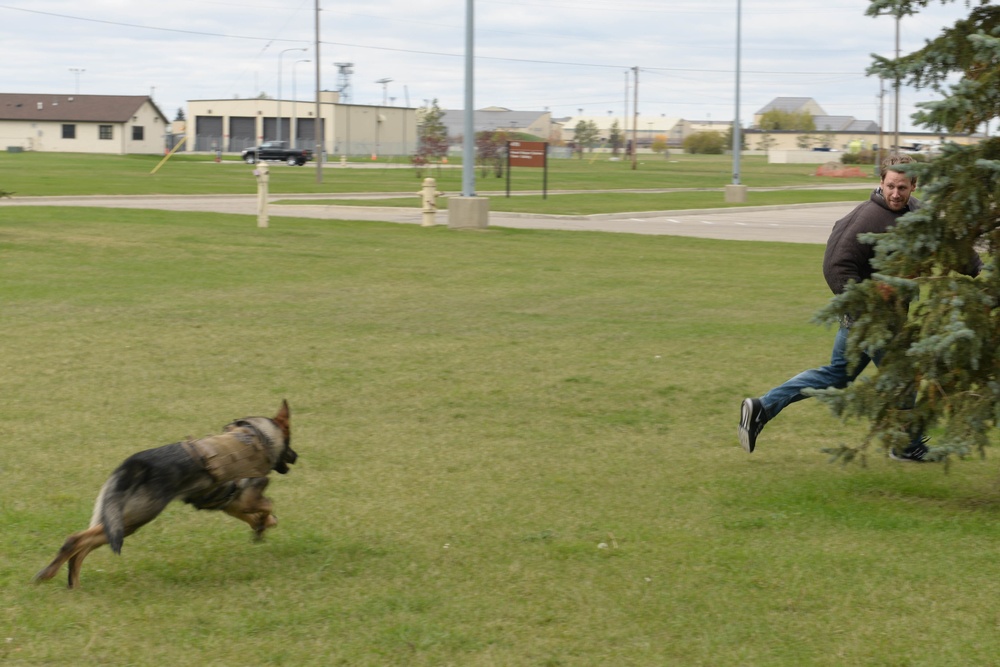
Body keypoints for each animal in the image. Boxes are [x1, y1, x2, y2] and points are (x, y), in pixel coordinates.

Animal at [34, 400, 296, 588]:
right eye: (290, 442)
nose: (296, 456)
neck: (257, 435)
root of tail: (133, 464)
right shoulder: (247, 499)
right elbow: (269, 506)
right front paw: (263, 525)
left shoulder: (233, 505)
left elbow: (258, 516)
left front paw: (261, 527)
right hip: (134, 519)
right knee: (75, 540)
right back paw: (48, 575)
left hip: (116, 522)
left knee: (82, 547)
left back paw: (71, 582)